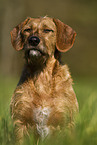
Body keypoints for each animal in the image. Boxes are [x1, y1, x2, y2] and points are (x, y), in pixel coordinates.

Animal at [10, 15, 78, 143]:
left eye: (47, 30)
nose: (33, 40)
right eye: (27, 30)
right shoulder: (20, 122)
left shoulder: (66, 123)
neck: (41, 75)